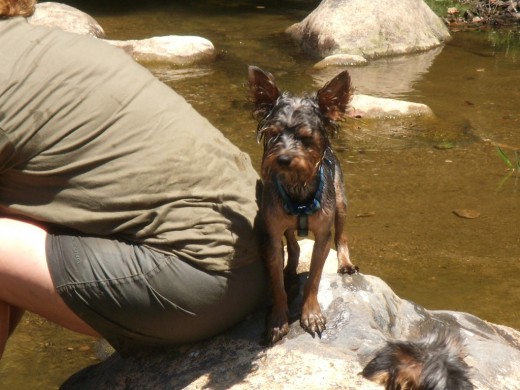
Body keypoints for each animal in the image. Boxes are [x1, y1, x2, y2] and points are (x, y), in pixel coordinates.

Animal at [248, 67, 358, 344]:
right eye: (273, 134)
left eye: (306, 137)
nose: (284, 158)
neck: (298, 188)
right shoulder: (271, 236)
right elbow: (277, 284)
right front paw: (277, 320)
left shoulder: (322, 236)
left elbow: (315, 279)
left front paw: (311, 314)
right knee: (294, 245)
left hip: (340, 202)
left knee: (342, 235)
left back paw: (345, 263)